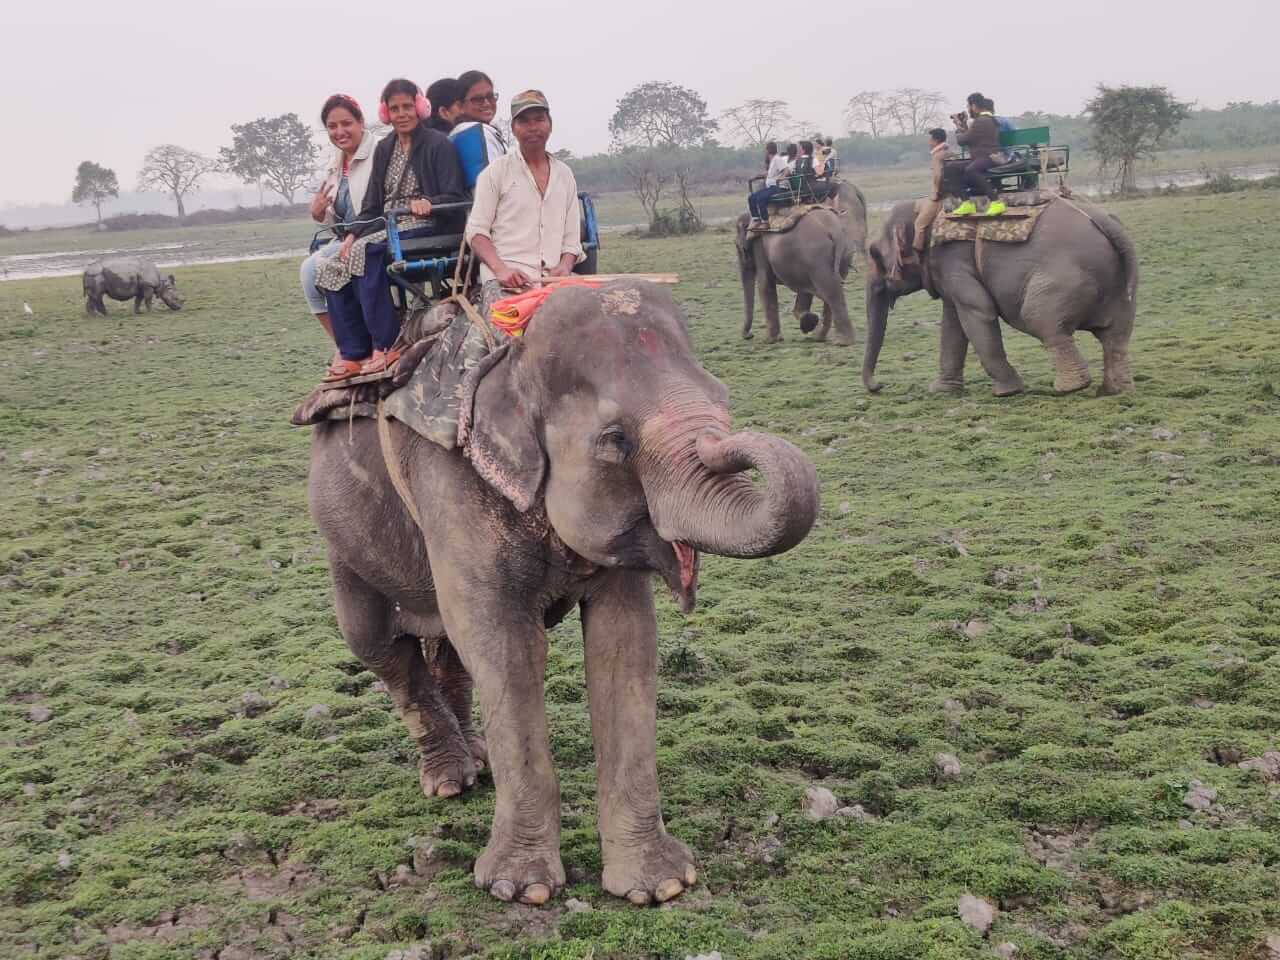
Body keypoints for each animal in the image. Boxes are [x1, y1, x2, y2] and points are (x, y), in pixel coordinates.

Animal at [304, 280, 814, 911]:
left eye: (723, 396)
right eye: (616, 441)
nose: (729, 442)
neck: (513, 359)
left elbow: (625, 644)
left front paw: (660, 886)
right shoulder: (450, 480)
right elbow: (504, 645)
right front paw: (521, 890)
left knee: (446, 643)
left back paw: (476, 760)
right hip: (340, 532)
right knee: (378, 644)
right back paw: (449, 780)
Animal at [732, 181, 870, 343]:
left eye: (738, 246)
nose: (749, 335)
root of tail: (834, 230)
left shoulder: (759, 246)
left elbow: (764, 284)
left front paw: (771, 340)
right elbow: (803, 290)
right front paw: (808, 321)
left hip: (817, 256)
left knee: (830, 290)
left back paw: (842, 341)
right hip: (842, 252)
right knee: (833, 287)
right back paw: (821, 337)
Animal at [865, 199, 1136, 399]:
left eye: (874, 254)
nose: (879, 386)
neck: (924, 211)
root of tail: (1108, 223)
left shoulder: (952, 258)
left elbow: (978, 311)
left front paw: (1007, 391)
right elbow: (953, 322)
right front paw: (941, 390)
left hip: (1064, 278)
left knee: (1043, 321)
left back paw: (1070, 387)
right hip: (1120, 285)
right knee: (1116, 336)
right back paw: (1113, 390)